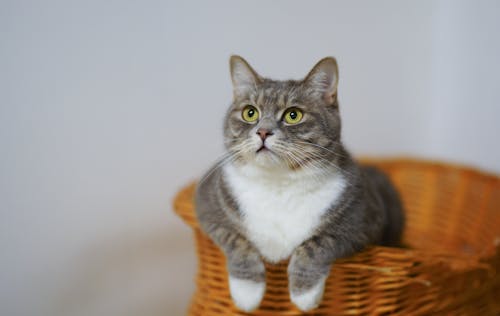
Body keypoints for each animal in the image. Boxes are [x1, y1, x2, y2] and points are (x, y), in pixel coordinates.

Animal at [193, 55, 404, 312]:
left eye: (293, 115)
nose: (263, 132)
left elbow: (319, 242)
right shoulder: (207, 204)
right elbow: (235, 238)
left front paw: (305, 293)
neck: (278, 184)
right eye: (250, 113)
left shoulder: (363, 219)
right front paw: (247, 291)